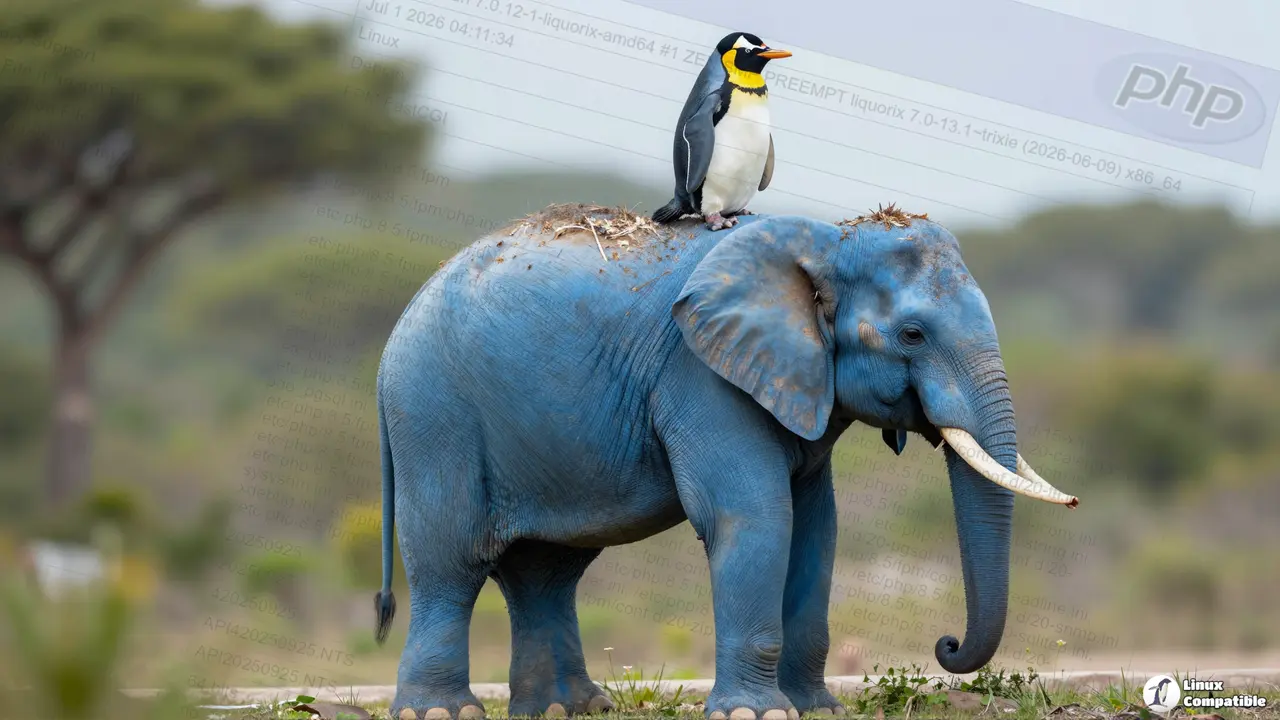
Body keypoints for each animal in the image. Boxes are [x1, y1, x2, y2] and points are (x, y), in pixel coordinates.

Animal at [372, 203, 1078, 720]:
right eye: (911, 334)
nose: (946, 644)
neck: (826, 237)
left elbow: (816, 529)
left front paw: (816, 712)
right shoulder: (700, 375)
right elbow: (753, 516)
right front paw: (754, 716)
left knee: (546, 570)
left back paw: (569, 710)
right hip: (434, 415)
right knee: (451, 558)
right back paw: (442, 714)